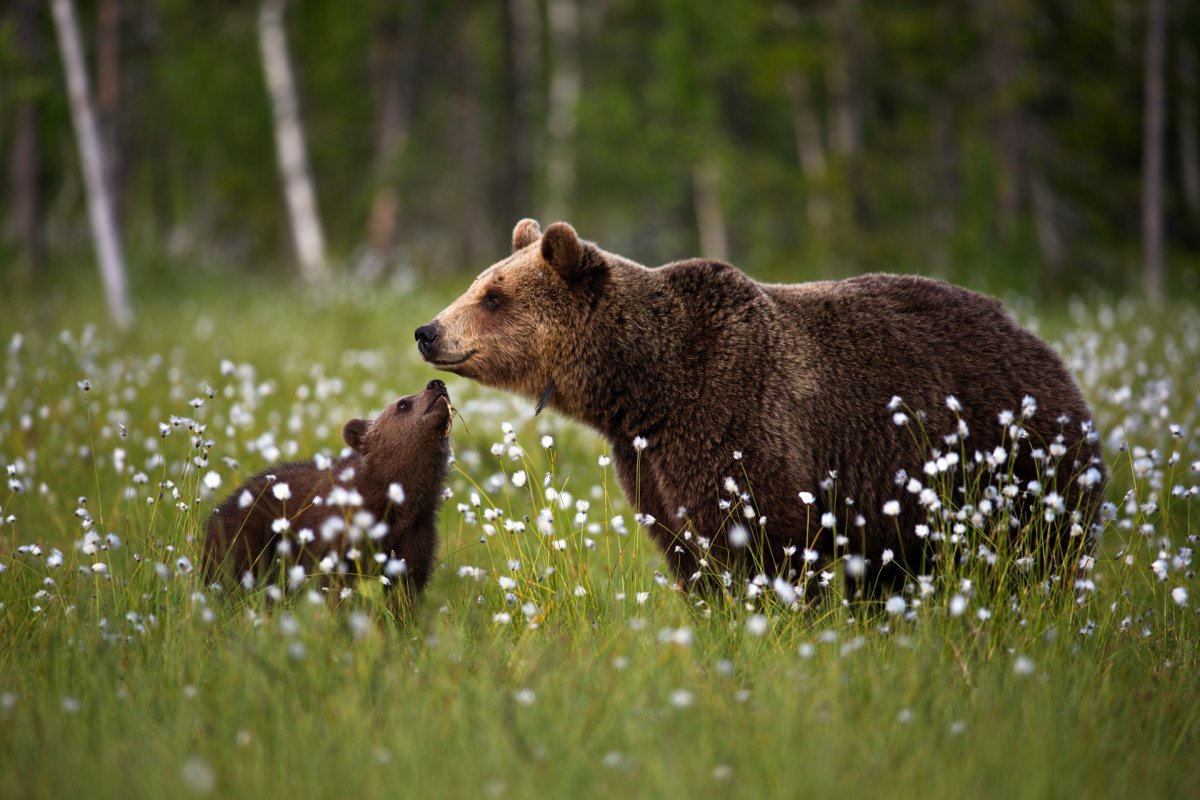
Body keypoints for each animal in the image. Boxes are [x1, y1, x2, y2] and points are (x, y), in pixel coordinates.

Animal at [202, 380, 453, 600]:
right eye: (403, 404)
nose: (437, 383)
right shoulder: (335, 534)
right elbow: (331, 584)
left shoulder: (414, 535)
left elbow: (405, 588)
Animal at [415, 220, 1106, 595]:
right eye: (479, 283)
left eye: (494, 296)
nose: (428, 331)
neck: (648, 386)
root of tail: (1046, 350)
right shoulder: (649, 460)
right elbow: (685, 549)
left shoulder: (736, 415)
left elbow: (764, 536)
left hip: (1016, 464)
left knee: (1040, 551)